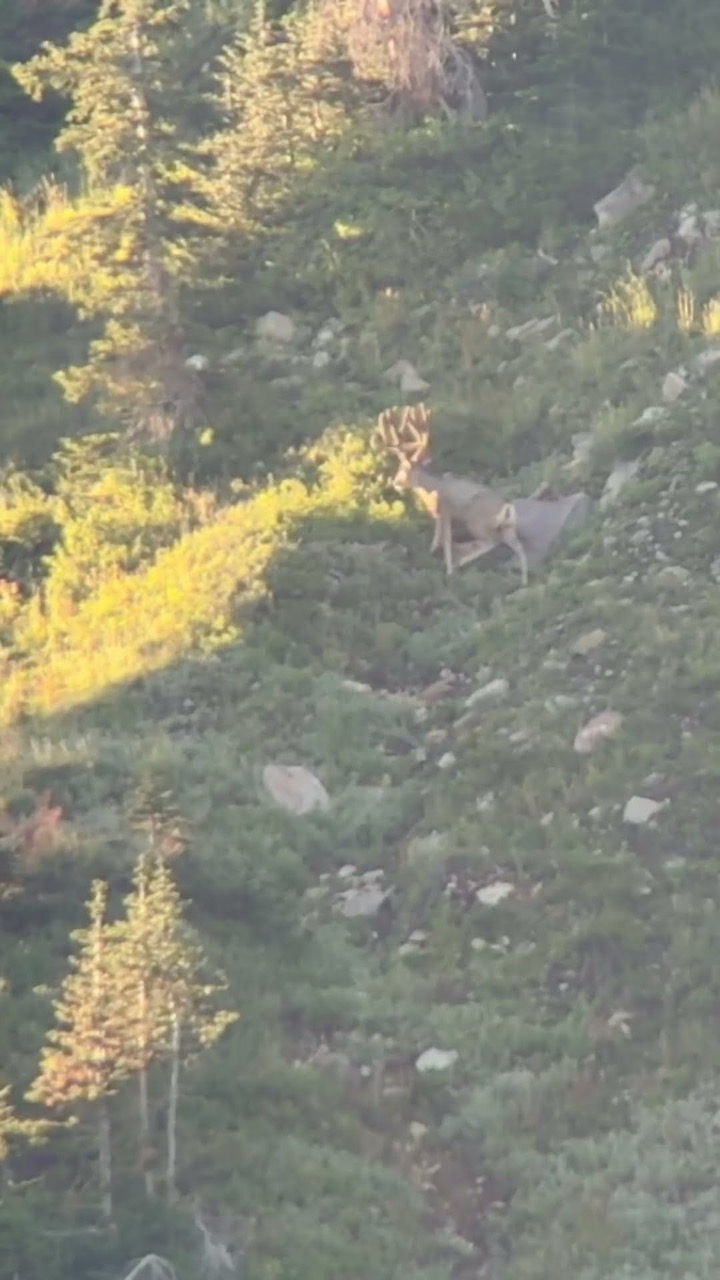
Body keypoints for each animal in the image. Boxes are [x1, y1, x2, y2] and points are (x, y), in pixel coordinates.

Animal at [373, 403, 528, 585]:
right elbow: (437, 536)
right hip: (508, 527)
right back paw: (524, 581)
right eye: (399, 467)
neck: (433, 489)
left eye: (408, 469)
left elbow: (446, 538)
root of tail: (507, 506)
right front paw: (431, 552)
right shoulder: (438, 515)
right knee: (517, 546)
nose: (396, 483)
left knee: (491, 542)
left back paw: (460, 562)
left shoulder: (446, 511)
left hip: (476, 521)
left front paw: (448, 572)